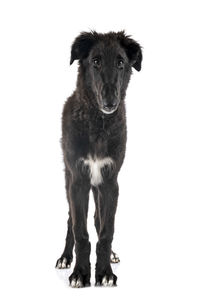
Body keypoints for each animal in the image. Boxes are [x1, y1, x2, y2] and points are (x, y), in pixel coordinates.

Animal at [55, 31, 142, 288]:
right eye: (95, 61)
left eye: (121, 62)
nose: (110, 102)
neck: (98, 125)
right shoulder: (78, 181)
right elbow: (80, 231)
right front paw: (80, 273)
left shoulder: (110, 182)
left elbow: (106, 230)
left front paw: (104, 272)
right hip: (68, 180)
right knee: (70, 221)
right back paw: (65, 257)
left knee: (97, 218)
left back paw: (111, 255)